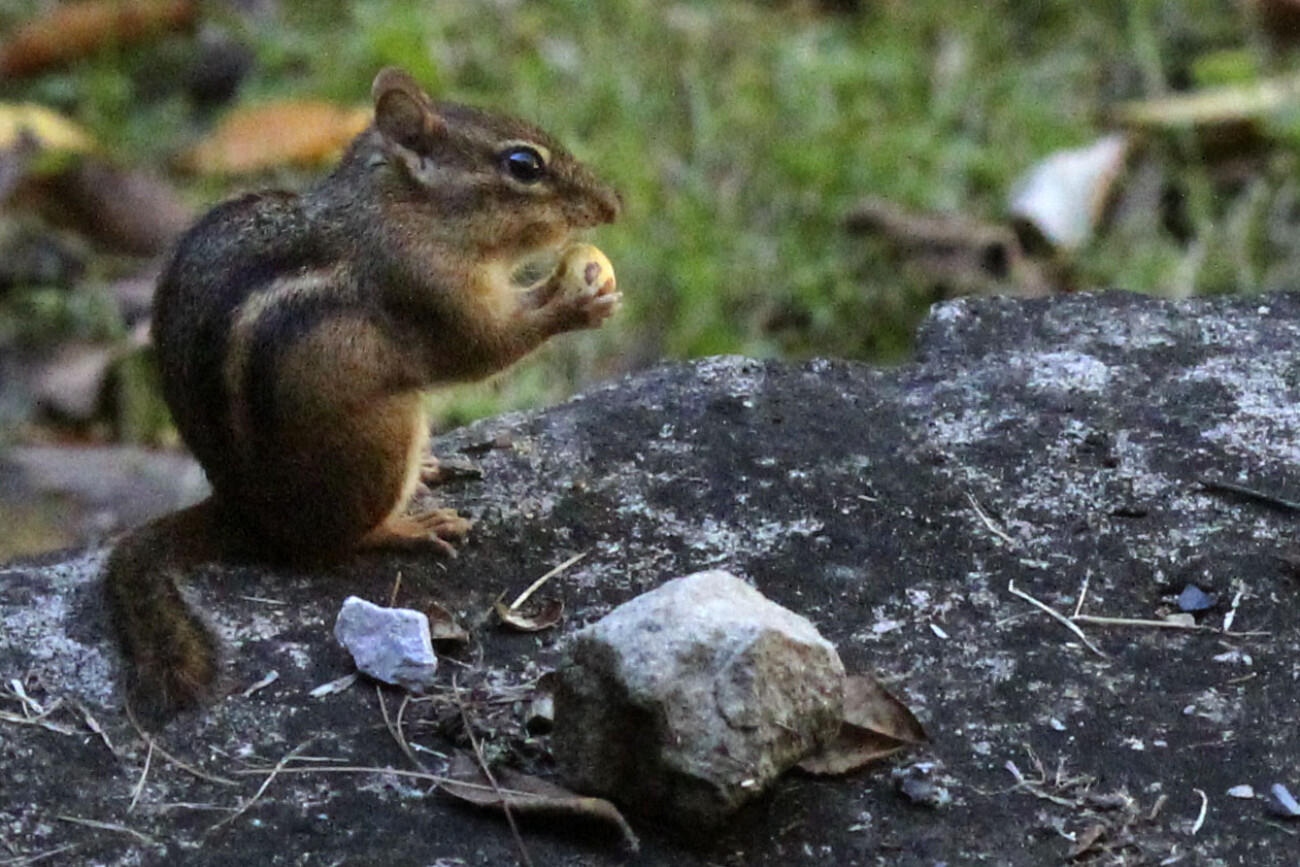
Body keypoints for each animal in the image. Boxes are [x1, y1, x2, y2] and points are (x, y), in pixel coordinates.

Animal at [104, 67, 622, 726]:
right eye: (523, 165)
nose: (612, 205)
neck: (403, 211)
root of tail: (245, 514)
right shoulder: (428, 289)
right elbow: (483, 348)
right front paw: (576, 300)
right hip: (381, 435)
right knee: (336, 544)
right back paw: (409, 527)